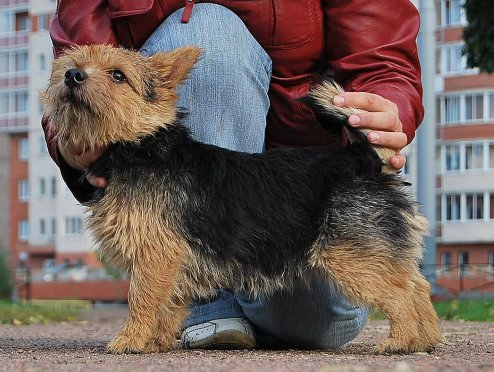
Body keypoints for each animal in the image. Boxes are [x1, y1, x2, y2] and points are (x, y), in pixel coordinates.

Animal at [42, 44, 442, 354]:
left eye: (118, 75)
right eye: (74, 61)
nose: (73, 75)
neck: (142, 143)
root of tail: (362, 158)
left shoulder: (155, 254)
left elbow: (142, 299)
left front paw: (131, 339)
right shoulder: (171, 260)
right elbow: (168, 304)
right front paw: (157, 341)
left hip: (354, 257)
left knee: (401, 294)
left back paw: (401, 341)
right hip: (375, 252)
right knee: (417, 285)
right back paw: (426, 339)